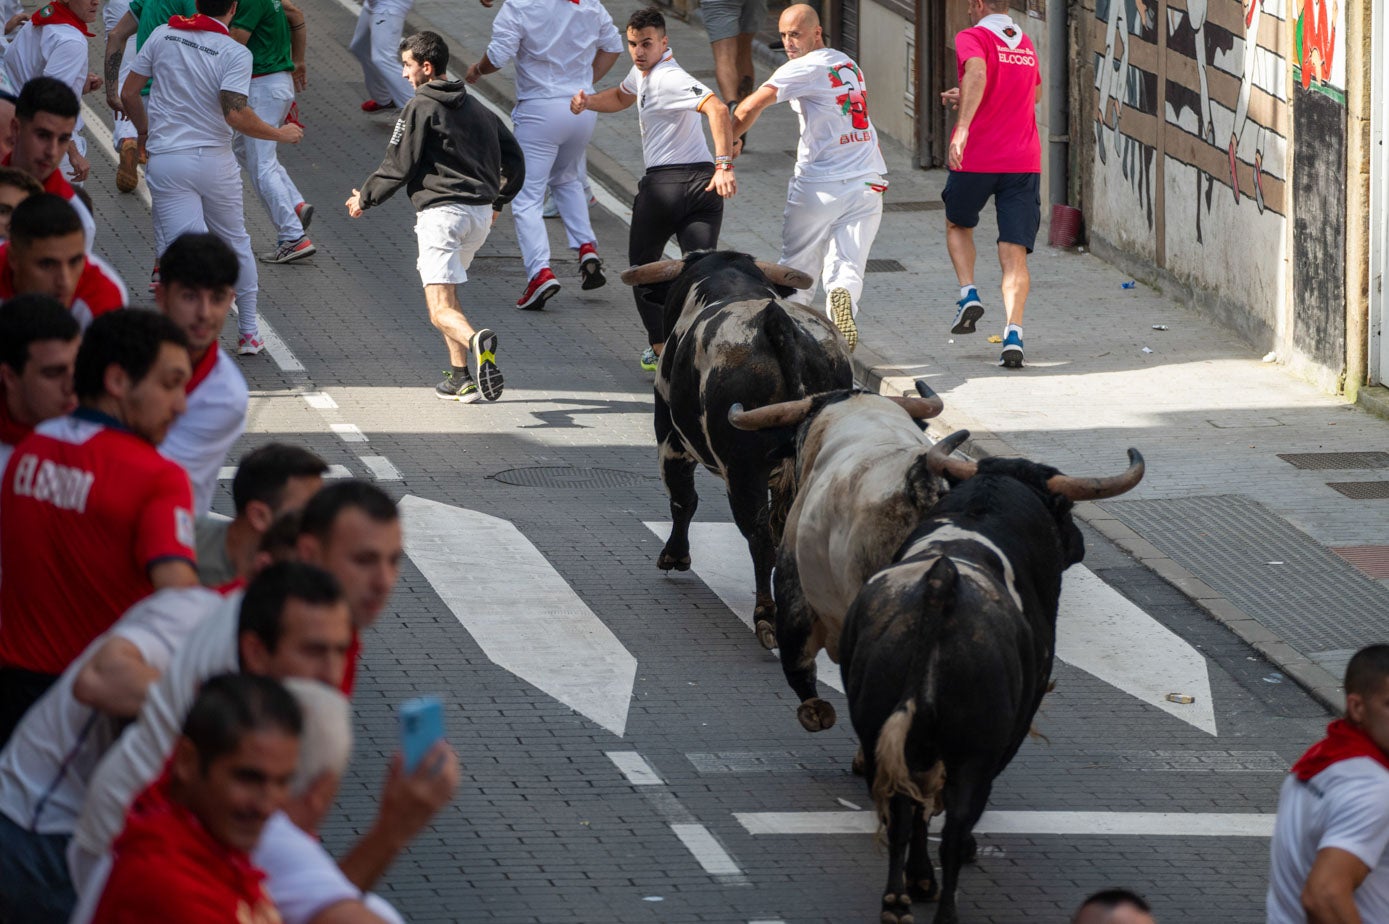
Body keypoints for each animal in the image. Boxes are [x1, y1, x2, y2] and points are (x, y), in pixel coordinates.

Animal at [622, 250, 855, 628]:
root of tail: (778, 323)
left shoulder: (669, 435)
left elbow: (683, 498)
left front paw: (675, 555)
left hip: (743, 472)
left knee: (759, 537)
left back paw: (766, 615)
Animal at [838, 433, 1144, 922]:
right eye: (1065, 508)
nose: (1079, 544)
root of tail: (940, 587)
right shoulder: (1013, 727)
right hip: (975, 753)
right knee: (953, 824)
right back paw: (944, 902)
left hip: (877, 733)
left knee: (901, 814)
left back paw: (901, 896)